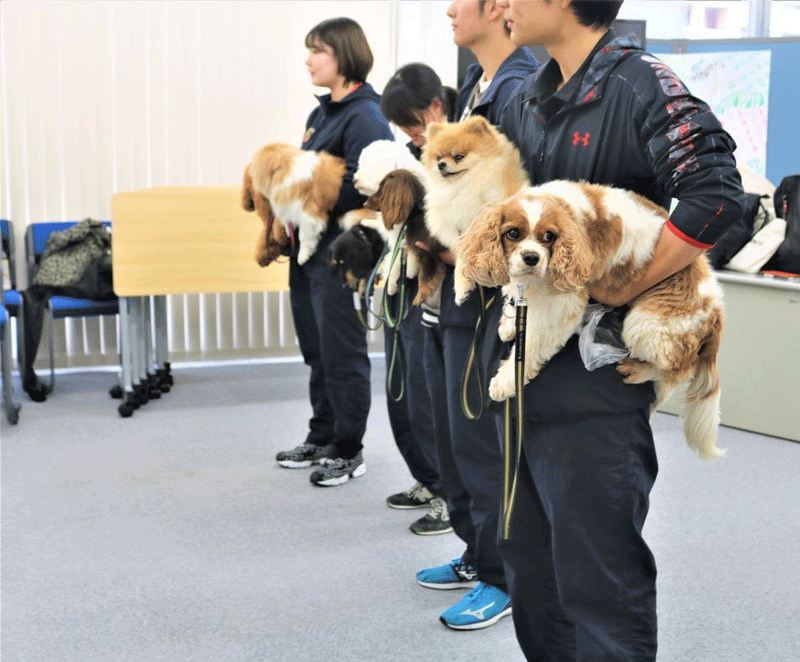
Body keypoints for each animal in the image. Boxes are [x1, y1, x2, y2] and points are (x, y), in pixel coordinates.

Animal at [456, 180, 724, 462]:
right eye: (513, 233)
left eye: (548, 237)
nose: (532, 257)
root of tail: (717, 309)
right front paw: (509, 323)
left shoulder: (564, 301)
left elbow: (530, 347)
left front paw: (505, 381)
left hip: (647, 323)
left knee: (679, 372)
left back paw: (640, 372)